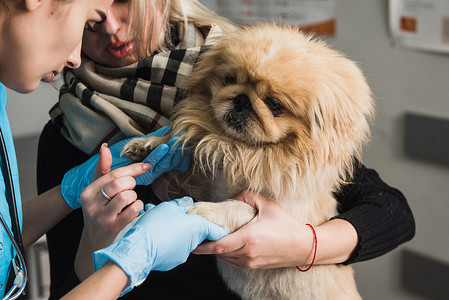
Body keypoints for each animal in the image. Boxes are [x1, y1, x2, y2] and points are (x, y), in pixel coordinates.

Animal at [121, 23, 372, 300]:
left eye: (274, 104)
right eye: (229, 80)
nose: (242, 99)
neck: (246, 151)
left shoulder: (279, 215)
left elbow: (236, 207)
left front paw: (201, 211)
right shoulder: (213, 170)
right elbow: (183, 144)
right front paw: (150, 146)